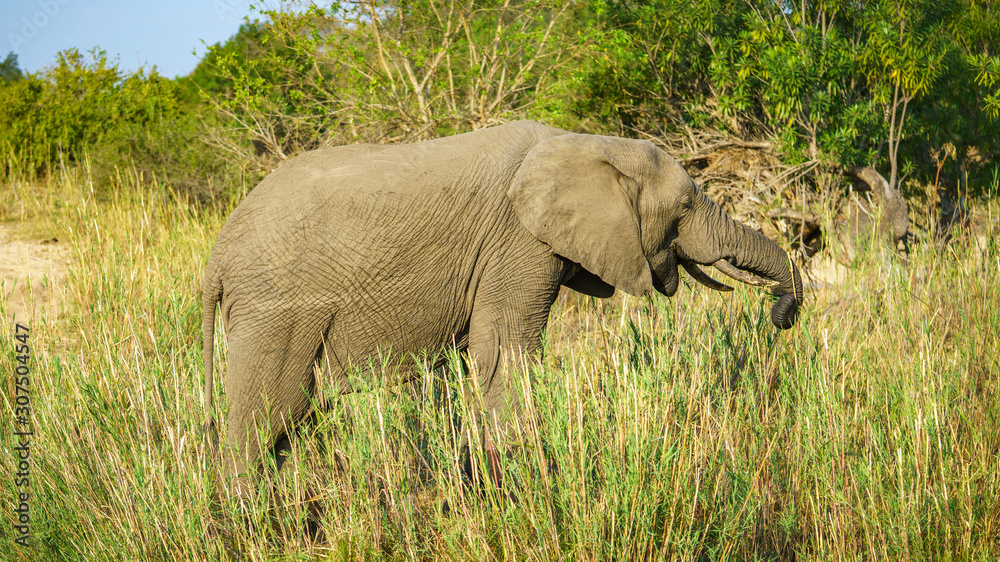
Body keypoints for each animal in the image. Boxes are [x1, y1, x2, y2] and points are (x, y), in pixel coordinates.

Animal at [202, 120, 803, 490]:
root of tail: (217, 256)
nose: (783, 315)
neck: (586, 144)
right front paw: (523, 476)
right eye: (682, 209)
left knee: (289, 422)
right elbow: (505, 349)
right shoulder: (518, 241)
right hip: (276, 307)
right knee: (264, 416)